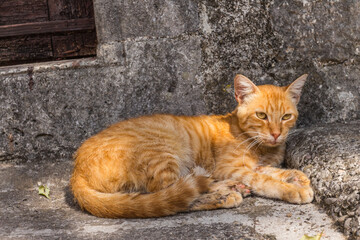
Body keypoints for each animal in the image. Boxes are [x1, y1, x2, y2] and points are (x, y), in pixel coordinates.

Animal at [70, 74, 312, 218]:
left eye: (286, 117)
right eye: (261, 115)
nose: (276, 134)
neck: (261, 146)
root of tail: (77, 170)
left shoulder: (254, 165)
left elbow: (271, 171)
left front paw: (295, 176)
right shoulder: (228, 167)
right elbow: (263, 180)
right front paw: (291, 189)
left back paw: (231, 187)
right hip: (164, 152)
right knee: (173, 195)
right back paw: (225, 194)